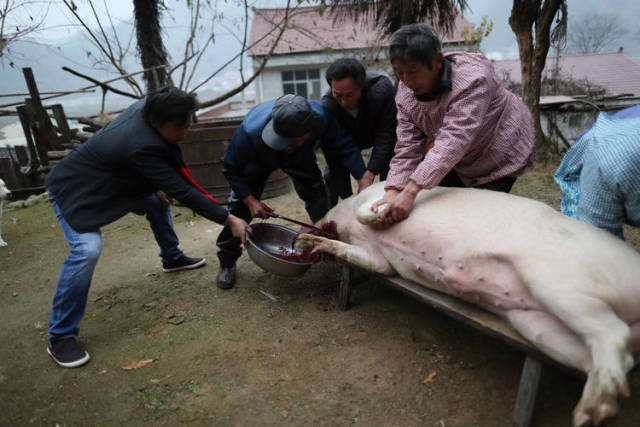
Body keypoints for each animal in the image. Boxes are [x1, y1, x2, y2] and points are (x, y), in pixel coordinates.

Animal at [298, 181, 640, 427]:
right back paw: (592, 412)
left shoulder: (377, 198)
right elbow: (376, 265)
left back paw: (591, 409)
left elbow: (369, 209)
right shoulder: (379, 260)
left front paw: (372, 214)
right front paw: (316, 244)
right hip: (535, 324)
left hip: (556, 282)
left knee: (612, 332)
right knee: (618, 358)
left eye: (328, 205)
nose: (306, 228)